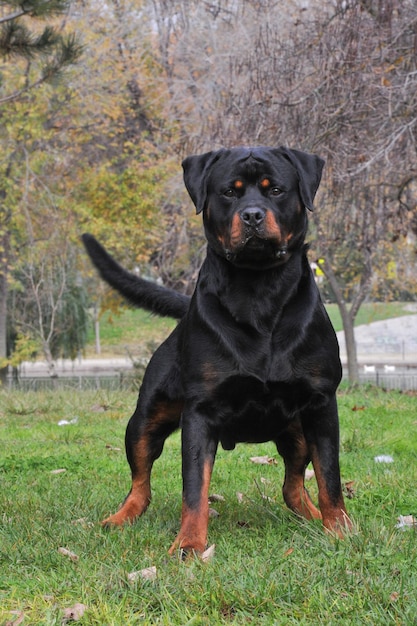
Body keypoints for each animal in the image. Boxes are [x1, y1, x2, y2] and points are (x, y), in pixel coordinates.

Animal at [82, 145, 352, 552]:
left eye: (276, 190)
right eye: (229, 192)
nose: (252, 214)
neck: (258, 291)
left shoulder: (321, 404)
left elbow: (330, 476)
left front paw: (339, 530)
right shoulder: (200, 412)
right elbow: (194, 487)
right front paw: (189, 545)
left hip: (297, 431)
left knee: (293, 484)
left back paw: (315, 518)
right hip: (144, 420)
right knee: (140, 481)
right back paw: (120, 517)